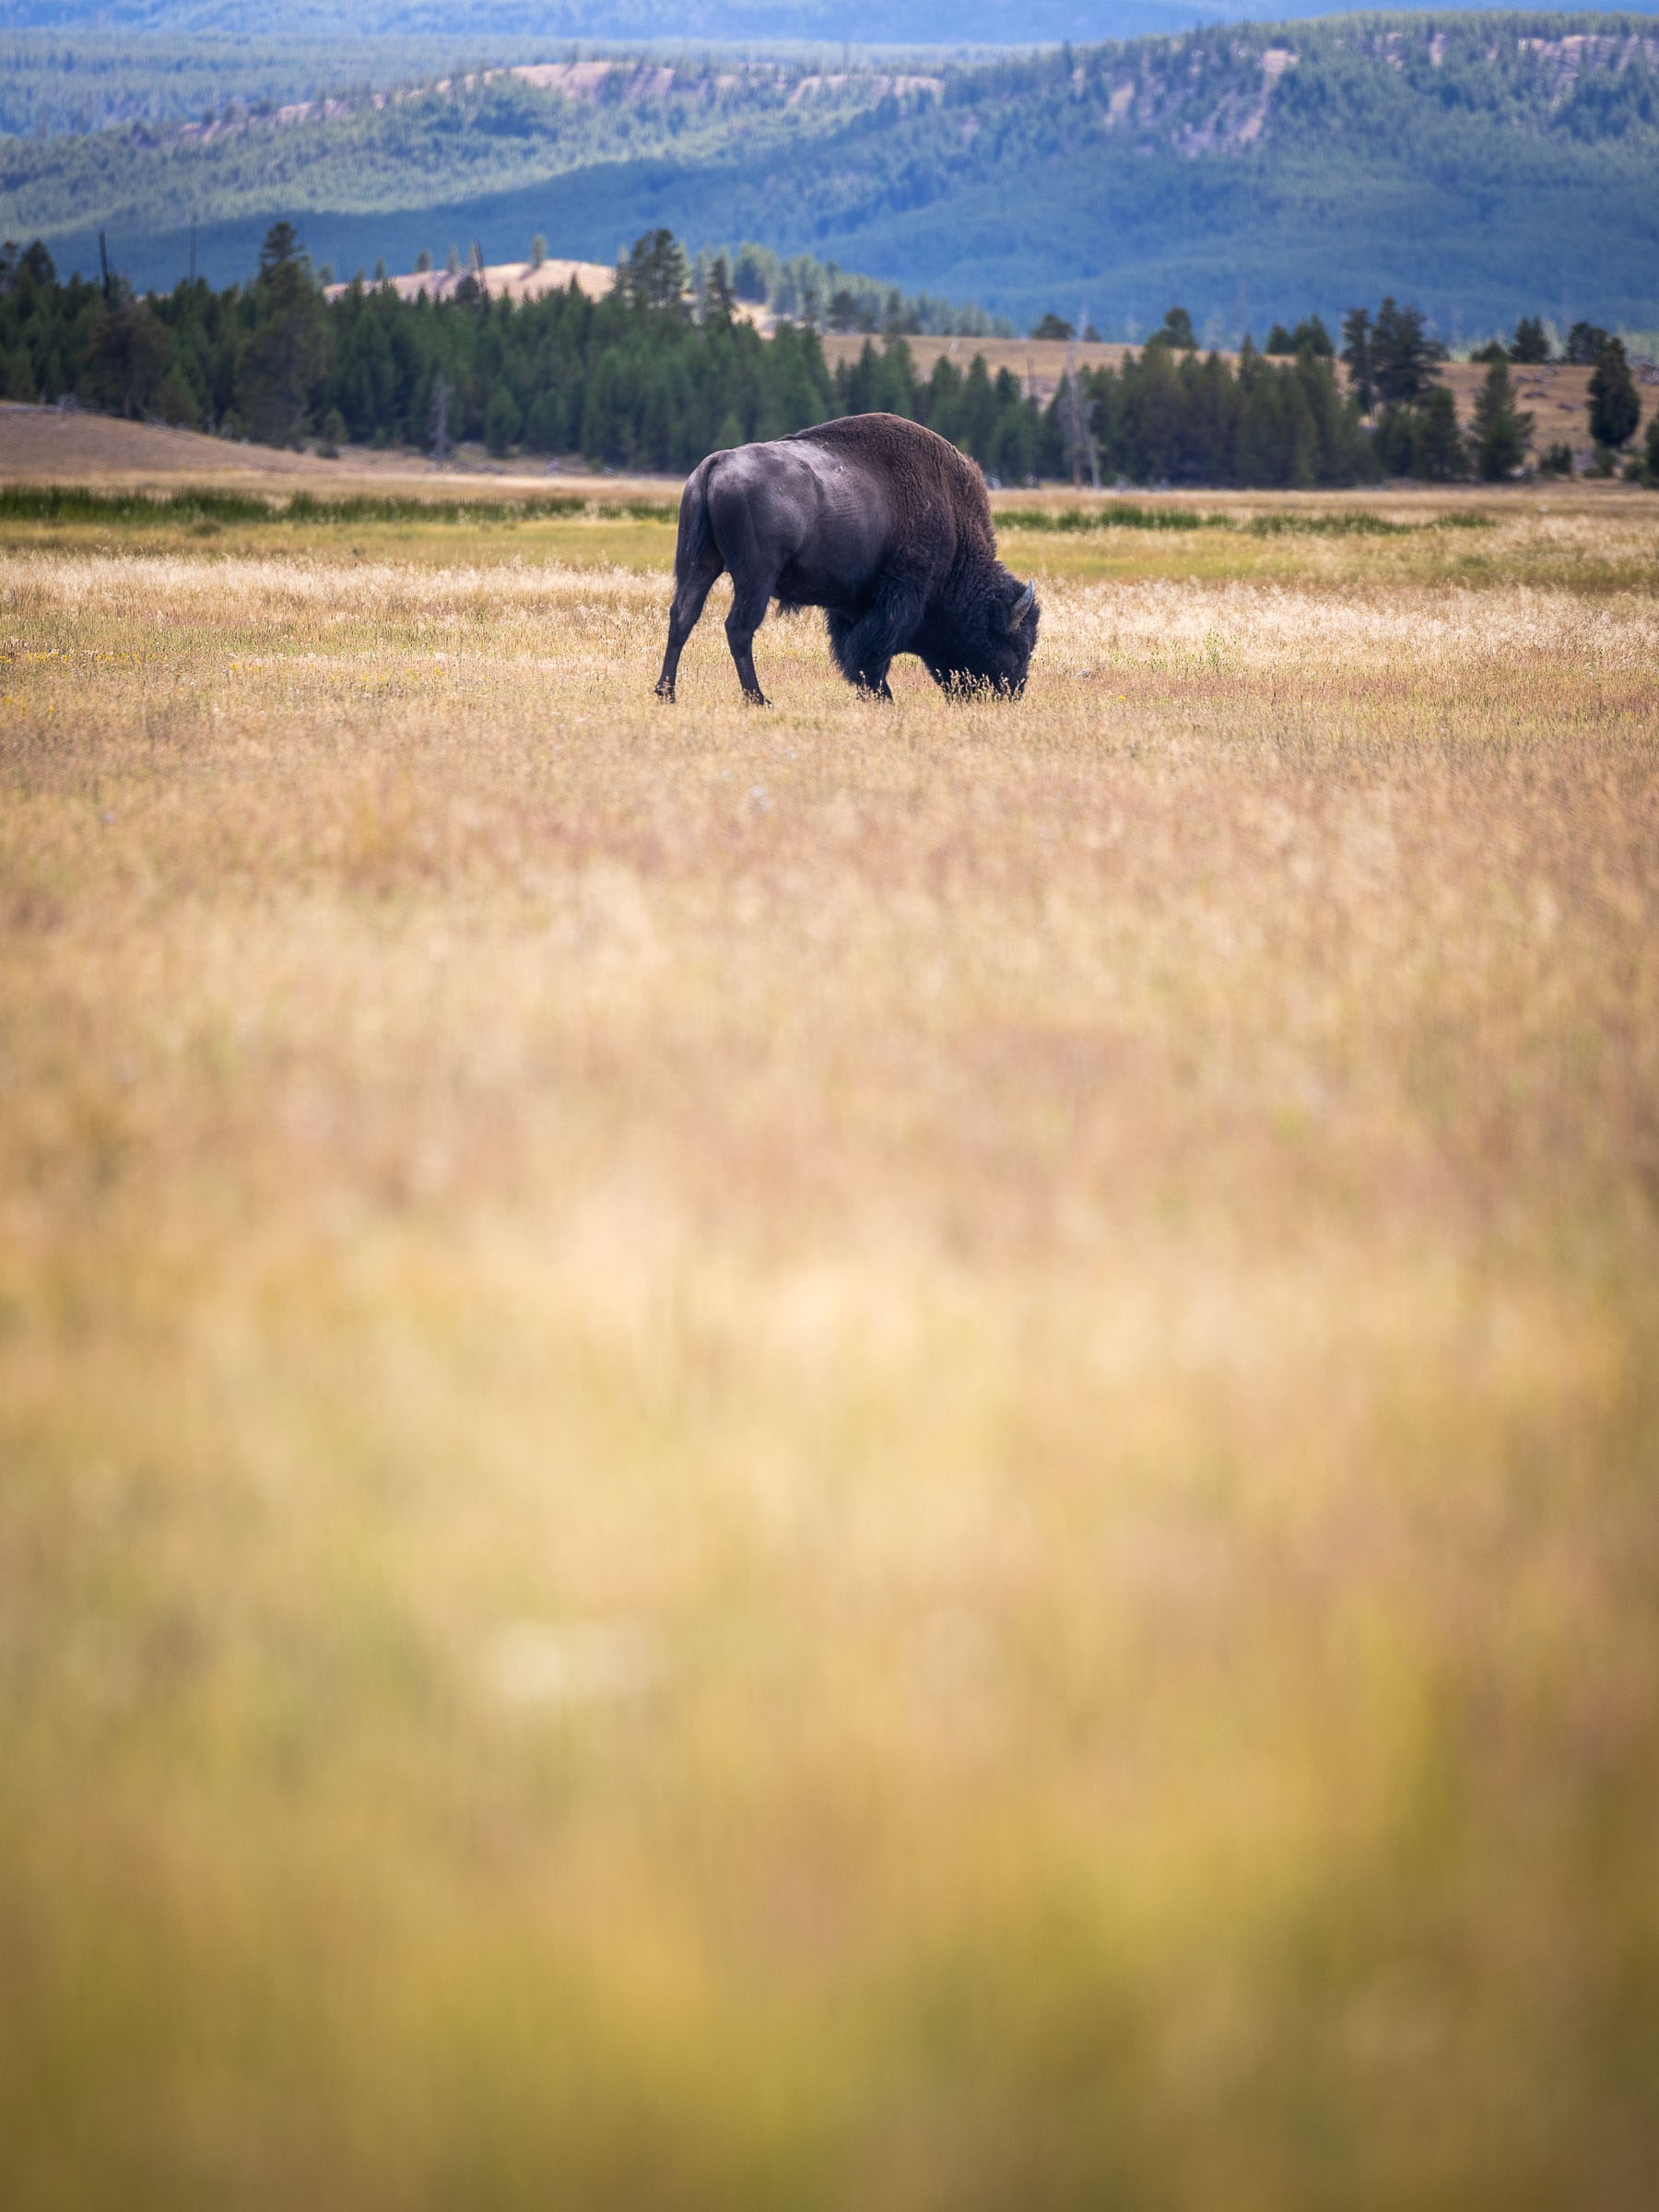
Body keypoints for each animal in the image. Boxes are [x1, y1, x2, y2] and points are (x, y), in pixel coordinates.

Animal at [654, 412, 1038, 706]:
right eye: (1015, 646)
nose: (1009, 693)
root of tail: (715, 463)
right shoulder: (899, 594)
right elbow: (873, 649)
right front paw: (882, 697)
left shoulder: (852, 604)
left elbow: (852, 649)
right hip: (755, 577)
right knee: (738, 627)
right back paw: (758, 699)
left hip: (700, 564)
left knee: (683, 616)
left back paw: (666, 693)